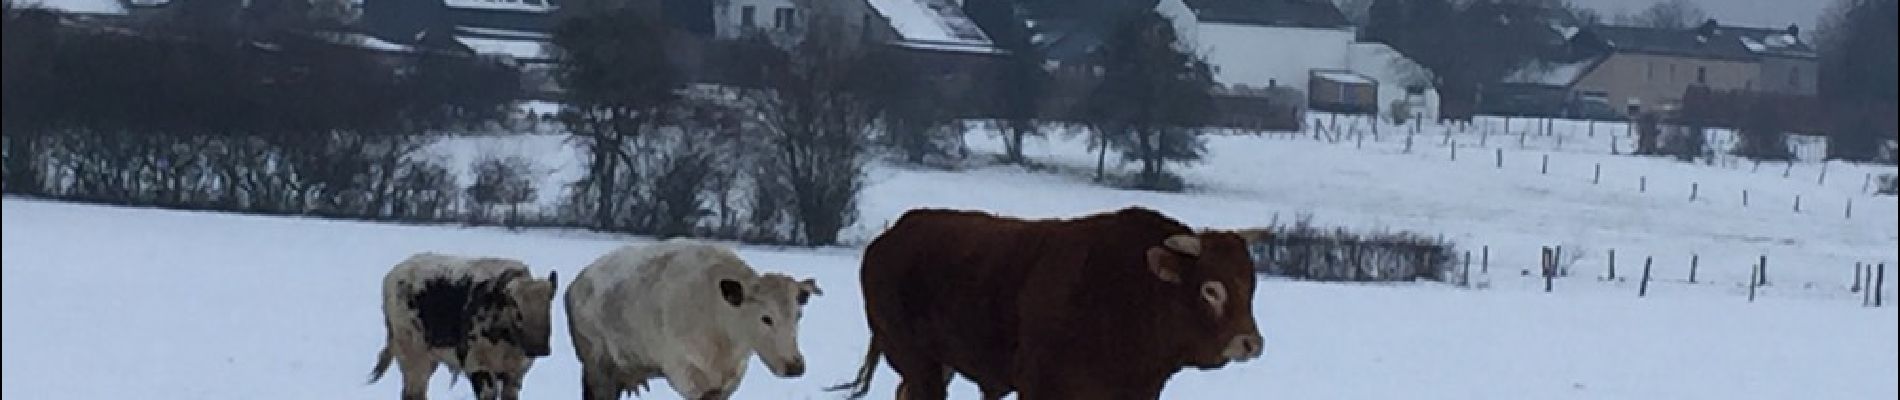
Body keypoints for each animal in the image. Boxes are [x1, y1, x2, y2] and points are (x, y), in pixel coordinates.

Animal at [362, 254, 554, 400]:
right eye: (516, 307)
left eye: (548, 306)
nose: (540, 348)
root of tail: (393, 275)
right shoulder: (478, 368)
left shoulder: (515, 375)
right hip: (413, 357)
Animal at [562, 238, 817, 398]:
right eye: (766, 318)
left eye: (798, 315)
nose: (795, 366)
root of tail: (577, 282)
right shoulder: (686, 373)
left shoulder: (728, 382)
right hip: (597, 366)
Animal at [828, 207, 1261, 398]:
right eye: (1210, 289)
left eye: (1250, 286)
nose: (1251, 343)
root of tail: (892, 235)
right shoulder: (1040, 385)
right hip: (917, 360)